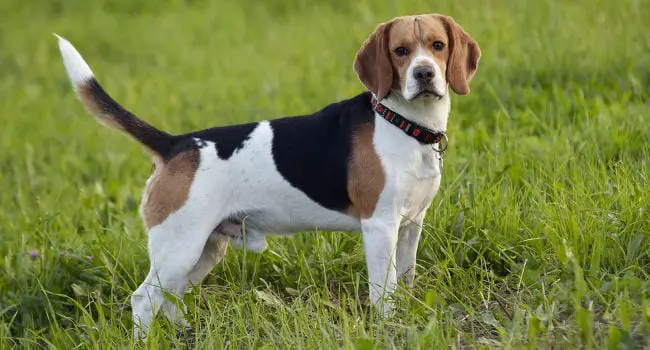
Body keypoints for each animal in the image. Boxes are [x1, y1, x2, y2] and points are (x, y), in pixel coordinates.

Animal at [55, 13, 478, 340]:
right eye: (400, 51)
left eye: (438, 45)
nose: (424, 73)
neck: (404, 123)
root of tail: (175, 144)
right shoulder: (379, 227)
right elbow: (383, 291)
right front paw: (388, 328)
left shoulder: (411, 225)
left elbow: (405, 280)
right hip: (179, 247)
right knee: (144, 300)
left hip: (205, 249)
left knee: (170, 297)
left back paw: (185, 334)